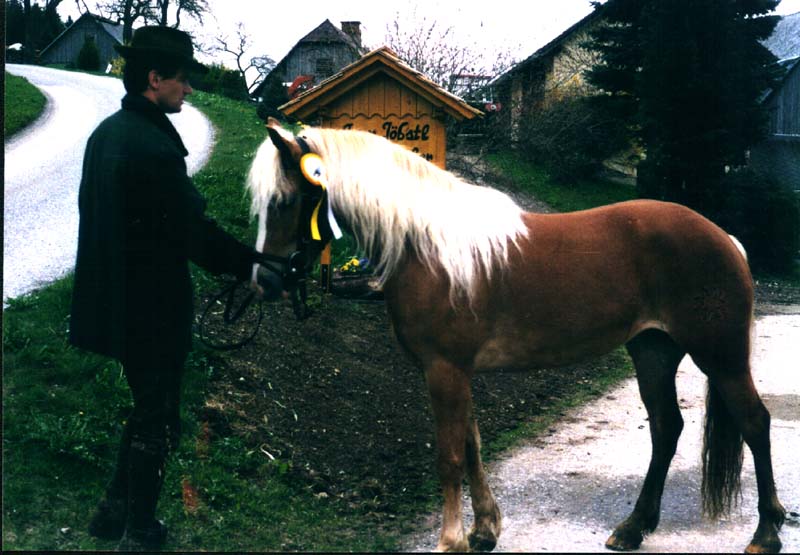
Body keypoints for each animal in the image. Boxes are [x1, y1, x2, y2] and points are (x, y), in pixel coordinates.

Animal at [246, 117, 785, 553]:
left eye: (285, 201)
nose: (264, 281)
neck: (427, 246)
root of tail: (724, 238)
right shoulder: (458, 373)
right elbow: (472, 445)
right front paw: (484, 531)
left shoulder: (444, 371)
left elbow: (449, 456)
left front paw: (450, 540)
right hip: (653, 351)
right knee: (666, 428)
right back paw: (634, 528)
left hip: (721, 356)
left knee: (754, 422)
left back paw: (766, 532)